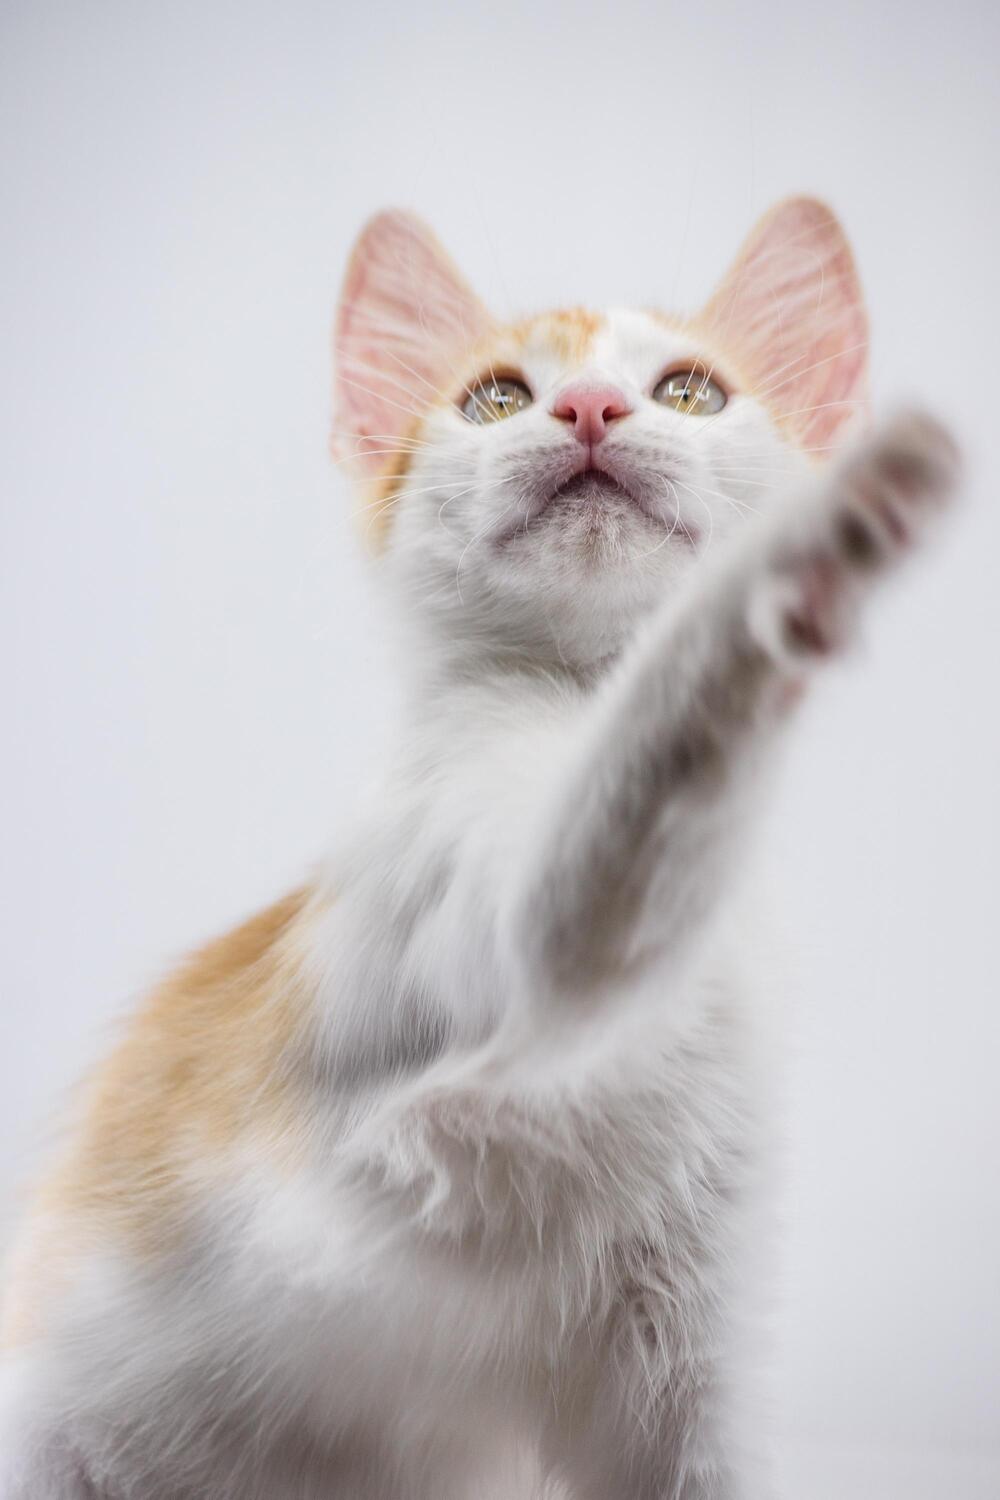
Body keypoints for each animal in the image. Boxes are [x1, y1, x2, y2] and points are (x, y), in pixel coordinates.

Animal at [0, 202, 959, 1500]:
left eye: (690, 390)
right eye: (497, 398)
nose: (590, 408)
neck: (563, 698)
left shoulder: (694, 1337)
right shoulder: (487, 919)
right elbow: (656, 737)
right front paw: (821, 542)